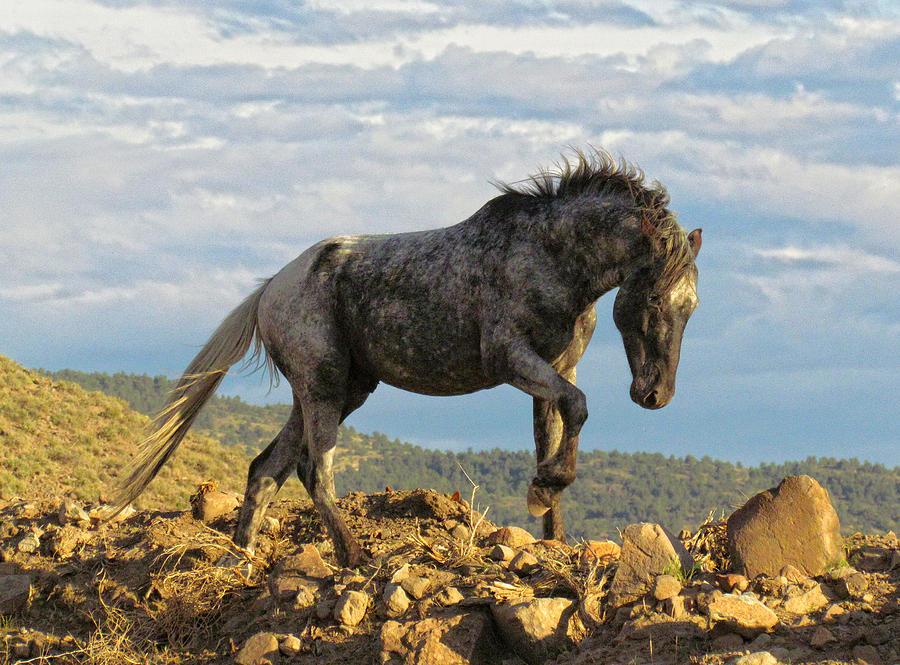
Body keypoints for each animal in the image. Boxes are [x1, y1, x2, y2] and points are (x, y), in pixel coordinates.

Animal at [114, 149, 704, 564]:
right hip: (324, 387)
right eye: (654, 299)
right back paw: (353, 556)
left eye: (692, 305)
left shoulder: (554, 371)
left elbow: (554, 434)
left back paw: (243, 559)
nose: (655, 395)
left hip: (338, 390)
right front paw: (545, 489)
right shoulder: (512, 360)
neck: (550, 256)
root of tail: (269, 290)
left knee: (265, 471)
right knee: (313, 468)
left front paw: (549, 520)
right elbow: (578, 408)